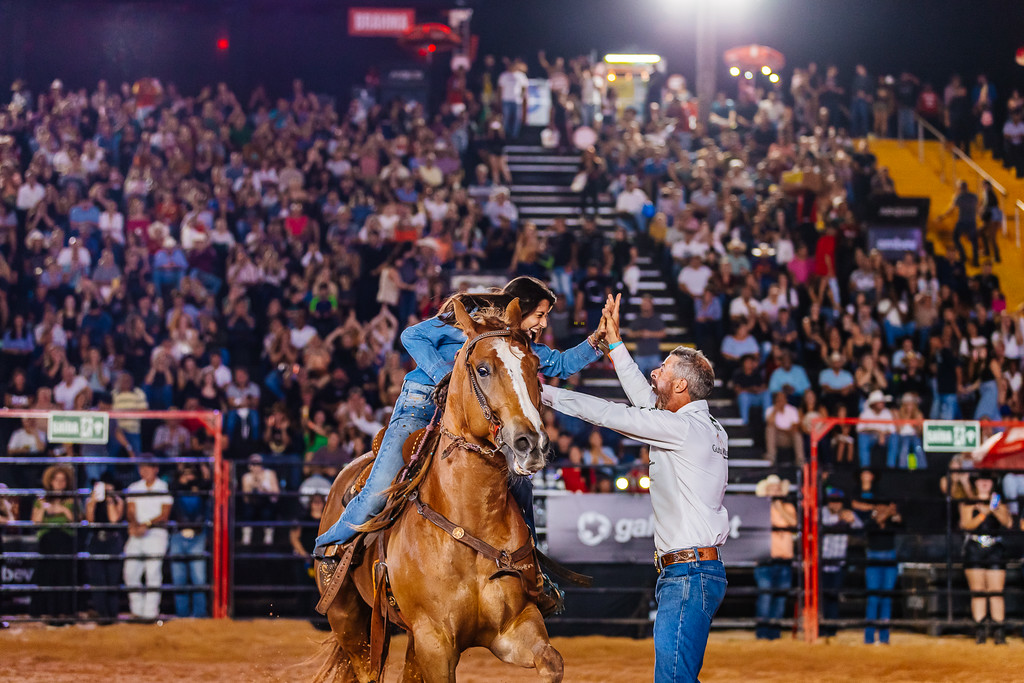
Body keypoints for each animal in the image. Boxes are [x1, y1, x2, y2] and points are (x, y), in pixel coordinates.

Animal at [313, 301, 565, 683]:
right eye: (483, 369)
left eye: (535, 366)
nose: (531, 443)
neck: (469, 519)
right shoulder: (435, 641)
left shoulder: (515, 627)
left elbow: (552, 662)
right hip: (350, 624)